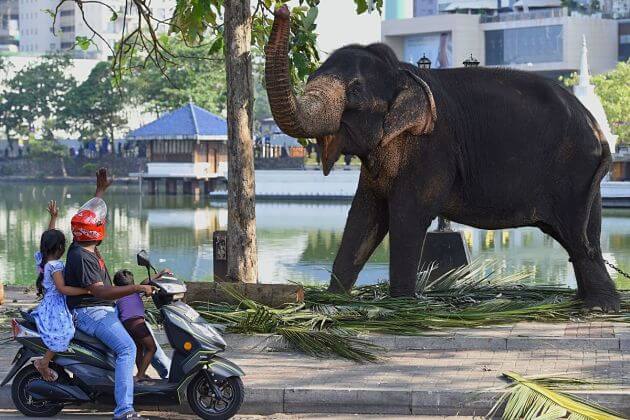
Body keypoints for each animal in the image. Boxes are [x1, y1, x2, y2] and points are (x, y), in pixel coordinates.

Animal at [264, 5, 620, 308]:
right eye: (309, 78)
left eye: (355, 90)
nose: (282, 10)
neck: (403, 72)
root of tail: (599, 130)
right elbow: (364, 215)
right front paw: (334, 299)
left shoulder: (432, 148)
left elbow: (407, 214)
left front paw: (403, 305)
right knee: (584, 236)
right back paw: (590, 302)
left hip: (574, 170)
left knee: (578, 238)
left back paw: (597, 307)